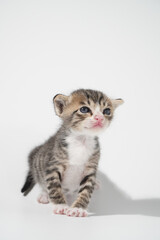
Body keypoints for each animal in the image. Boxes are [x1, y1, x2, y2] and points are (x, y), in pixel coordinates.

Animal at [21, 88, 123, 218]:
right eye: (84, 109)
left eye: (107, 111)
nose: (99, 118)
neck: (81, 141)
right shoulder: (53, 166)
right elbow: (54, 187)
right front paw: (61, 206)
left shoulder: (91, 169)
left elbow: (86, 191)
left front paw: (78, 208)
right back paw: (44, 195)